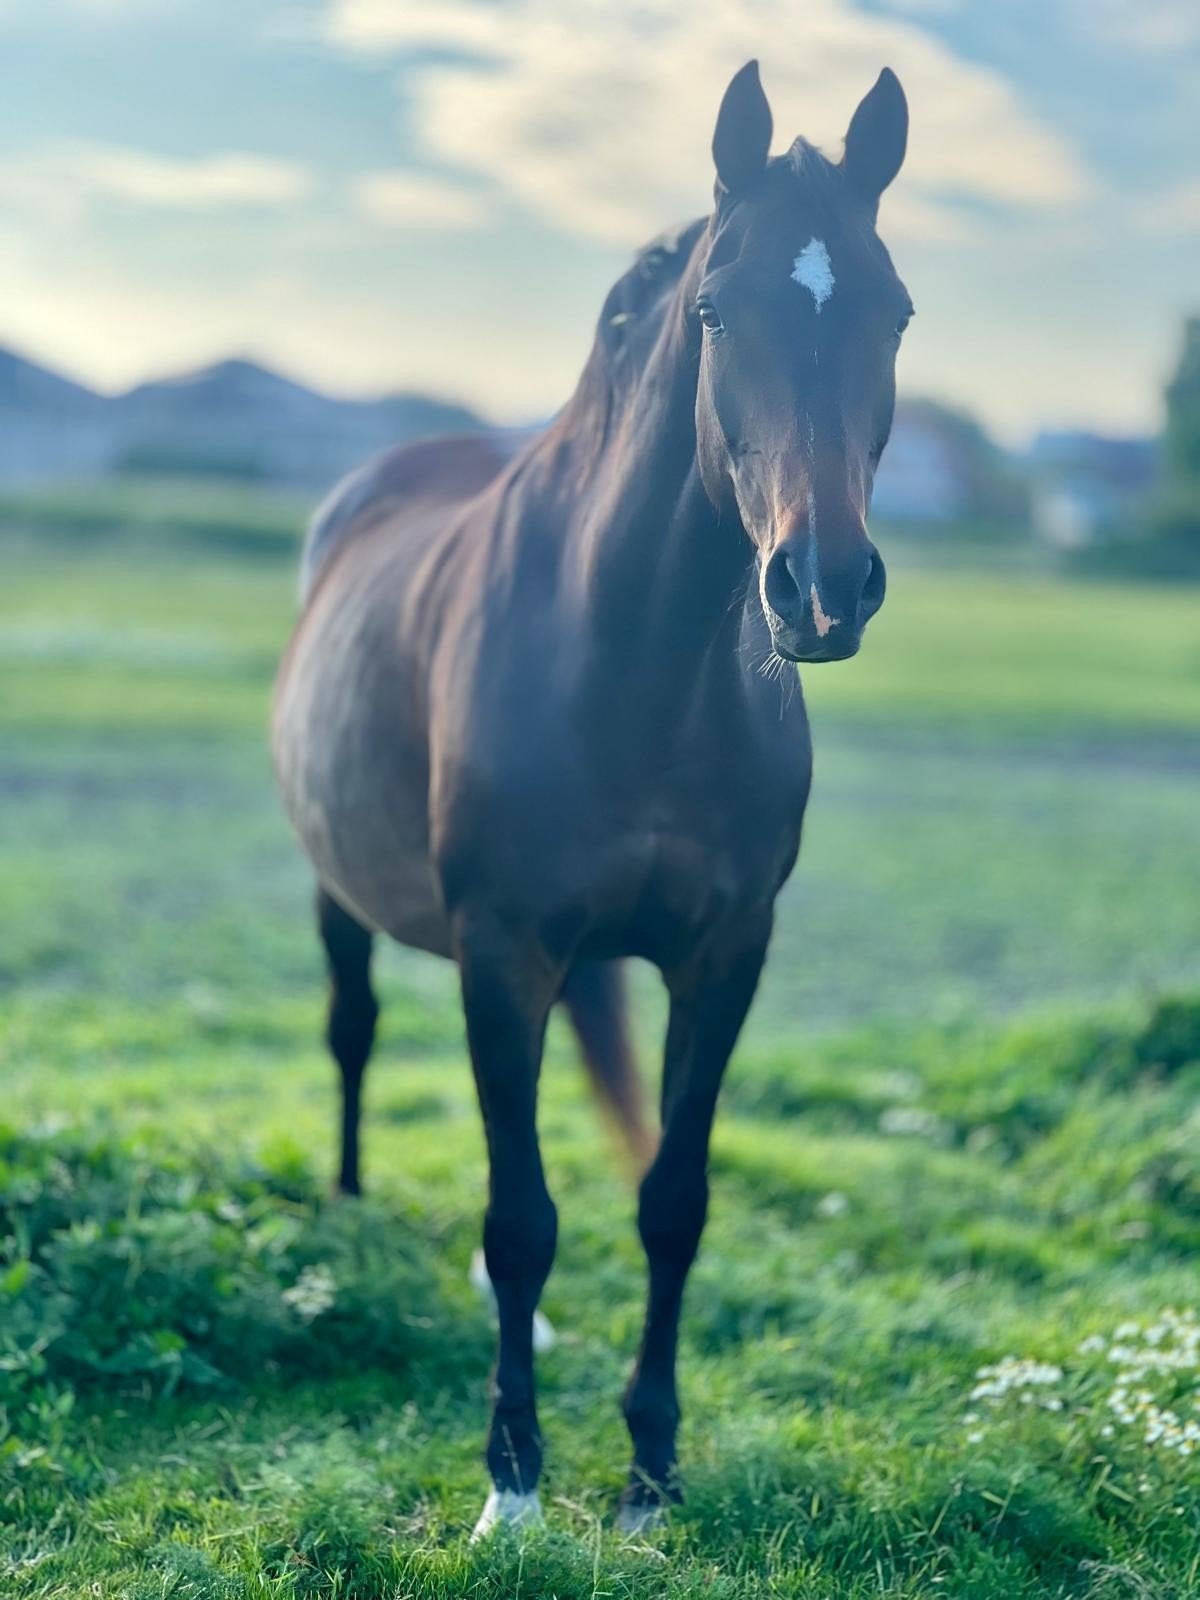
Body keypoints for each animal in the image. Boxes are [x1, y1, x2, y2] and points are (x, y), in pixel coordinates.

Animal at [273, 58, 911, 1537]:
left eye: (896, 310)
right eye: (719, 309)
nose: (823, 588)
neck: (635, 661)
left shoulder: (726, 953)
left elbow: (670, 1200)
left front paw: (650, 1476)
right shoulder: (500, 950)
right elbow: (522, 1218)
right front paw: (510, 1480)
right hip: (342, 891)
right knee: (351, 1032)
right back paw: (347, 1212)